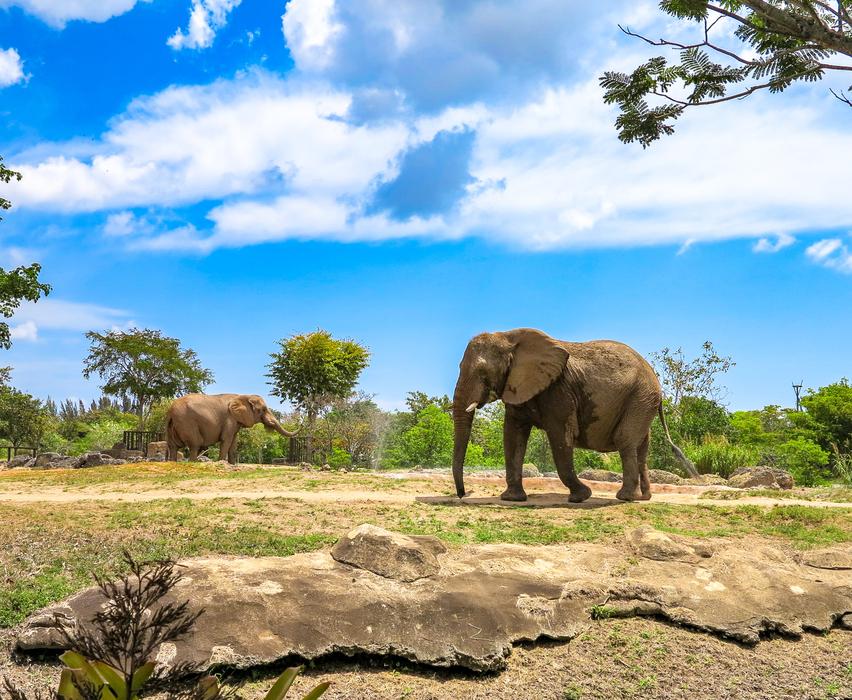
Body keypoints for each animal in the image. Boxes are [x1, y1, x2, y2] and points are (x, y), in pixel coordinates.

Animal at [165, 393, 297, 464]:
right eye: (263, 409)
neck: (244, 396)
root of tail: (170, 410)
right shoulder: (229, 418)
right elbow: (226, 440)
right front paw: (222, 463)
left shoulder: (235, 421)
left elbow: (234, 442)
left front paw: (232, 465)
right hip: (187, 422)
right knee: (195, 445)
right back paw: (194, 463)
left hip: (172, 425)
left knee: (173, 446)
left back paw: (173, 462)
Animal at [451, 328, 696, 503]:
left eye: (483, 373)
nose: (462, 495)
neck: (508, 337)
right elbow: (513, 435)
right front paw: (512, 499)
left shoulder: (559, 389)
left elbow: (561, 436)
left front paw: (581, 496)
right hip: (643, 401)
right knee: (642, 445)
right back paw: (644, 497)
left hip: (640, 397)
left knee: (625, 440)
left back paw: (626, 497)